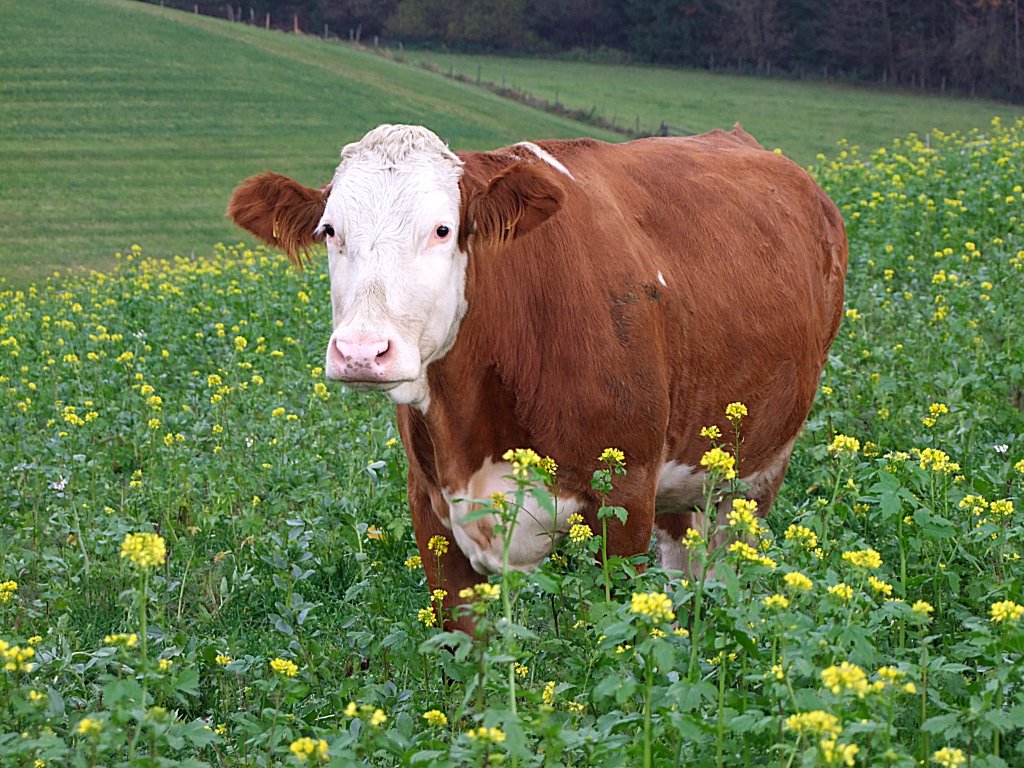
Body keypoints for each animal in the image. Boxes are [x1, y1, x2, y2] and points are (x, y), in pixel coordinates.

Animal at [230, 124, 847, 630]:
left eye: (442, 229)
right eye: (330, 230)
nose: (362, 352)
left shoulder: (626, 497)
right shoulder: (431, 510)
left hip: (755, 475)